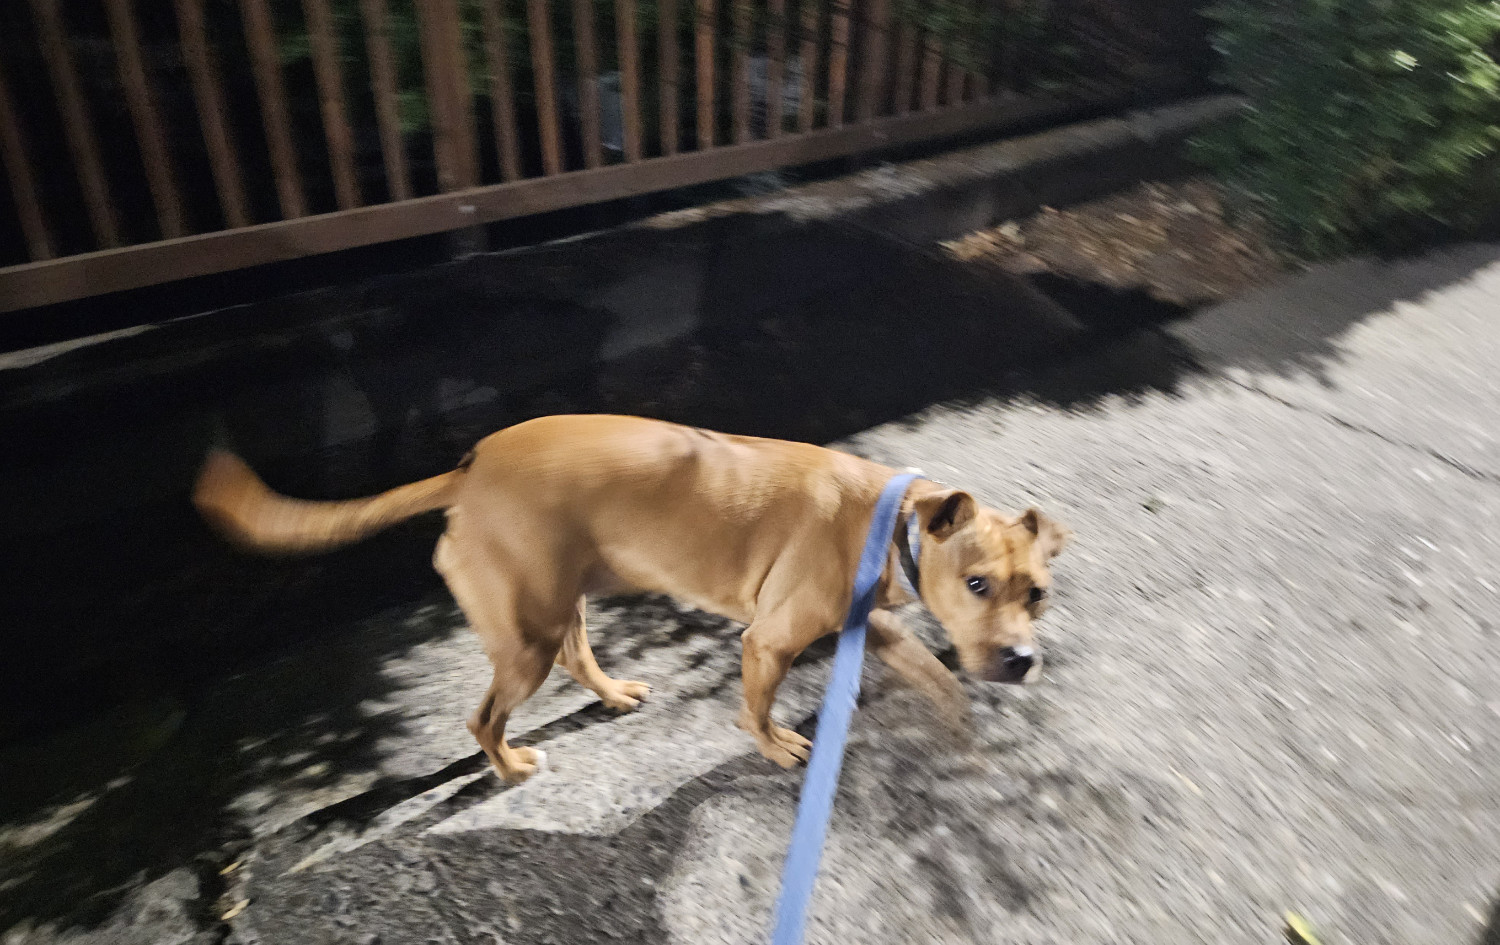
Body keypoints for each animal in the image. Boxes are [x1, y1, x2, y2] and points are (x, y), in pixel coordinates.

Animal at [196, 414, 1068, 786]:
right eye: (978, 583)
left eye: (1038, 593)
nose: (1022, 660)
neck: (891, 520)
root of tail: (469, 472)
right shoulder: (768, 640)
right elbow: (756, 708)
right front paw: (774, 745)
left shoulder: (872, 624)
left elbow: (937, 671)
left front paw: (960, 726)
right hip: (526, 635)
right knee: (484, 718)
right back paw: (510, 766)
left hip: (560, 601)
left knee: (579, 656)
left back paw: (613, 693)